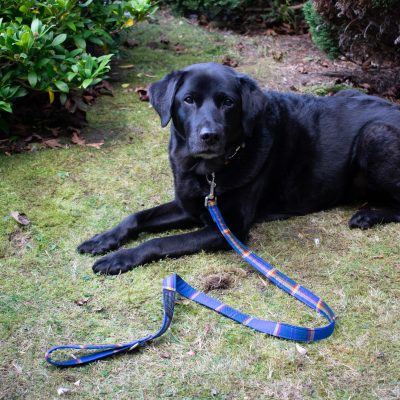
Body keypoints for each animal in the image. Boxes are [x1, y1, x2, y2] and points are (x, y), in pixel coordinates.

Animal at [77, 62, 400, 276]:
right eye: (189, 99)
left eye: (228, 102)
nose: (209, 135)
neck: (206, 170)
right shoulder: (190, 204)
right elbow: (136, 217)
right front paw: (104, 239)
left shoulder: (227, 228)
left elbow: (159, 242)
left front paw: (121, 258)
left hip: (374, 134)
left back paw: (368, 216)